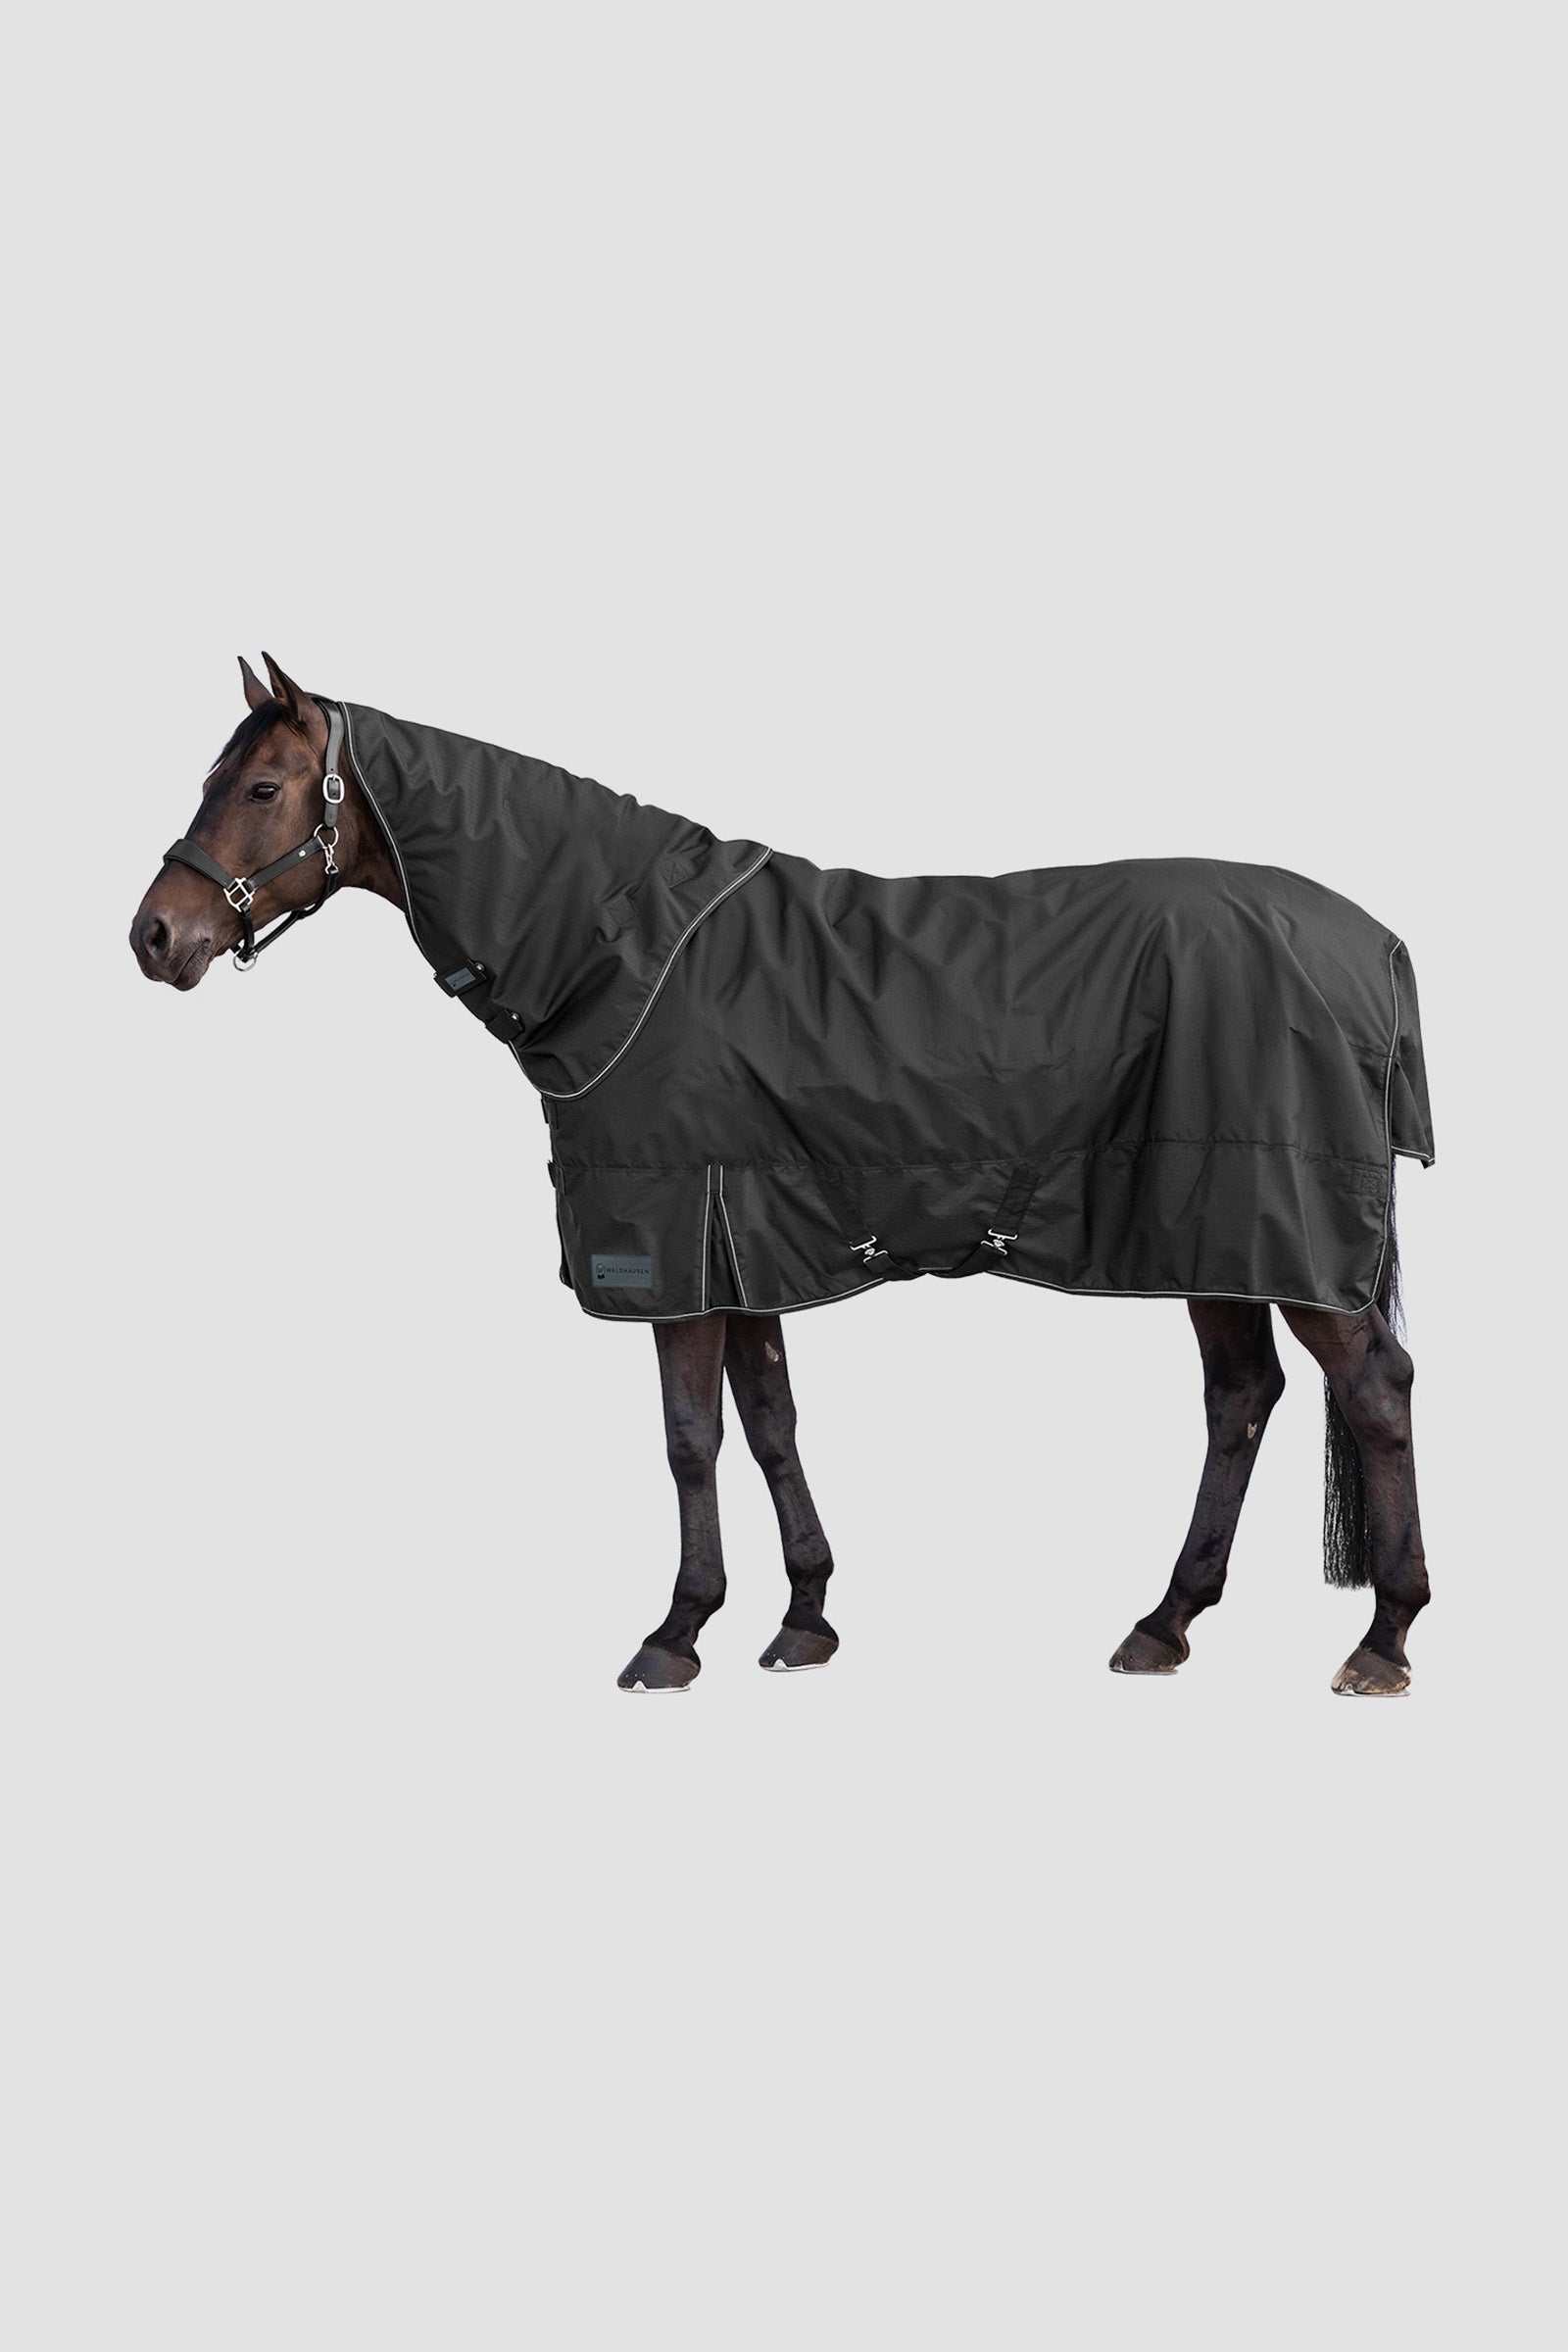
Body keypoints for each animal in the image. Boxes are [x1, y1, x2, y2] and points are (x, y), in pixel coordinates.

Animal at [131, 654, 1432, 1696]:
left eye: (260, 789)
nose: (154, 936)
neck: (616, 949)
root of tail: (1371, 945)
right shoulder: (743, 1240)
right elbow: (768, 1426)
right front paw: (804, 1618)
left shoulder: (673, 1244)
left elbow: (689, 1438)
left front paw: (675, 1634)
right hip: (1215, 1228)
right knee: (1240, 1399)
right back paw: (1163, 1625)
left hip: (1279, 1228)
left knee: (1372, 1391)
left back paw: (1381, 1641)